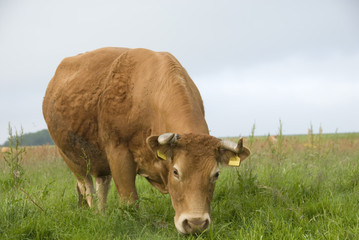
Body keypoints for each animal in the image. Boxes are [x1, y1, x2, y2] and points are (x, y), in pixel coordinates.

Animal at [42, 47, 252, 234]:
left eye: (216, 174)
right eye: (176, 172)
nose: (196, 224)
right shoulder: (119, 154)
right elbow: (130, 202)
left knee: (102, 185)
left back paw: (102, 214)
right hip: (72, 159)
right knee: (88, 189)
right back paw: (94, 213)